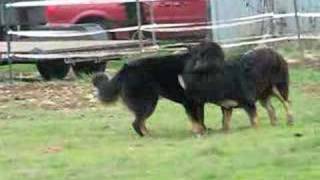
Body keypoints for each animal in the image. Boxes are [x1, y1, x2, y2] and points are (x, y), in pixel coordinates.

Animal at [92, 44, 225, 136]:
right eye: (199, 57)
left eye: (210, 57)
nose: (199, 66)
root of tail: (125, 69)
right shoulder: (189, 103)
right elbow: (195, 119)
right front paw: (199, 132)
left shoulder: (198, 103)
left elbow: (201, 118)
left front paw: (204, 130)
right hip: (148, 103)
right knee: (137, 122)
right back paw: (146, 136)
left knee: (140, 122)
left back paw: (148, 133)